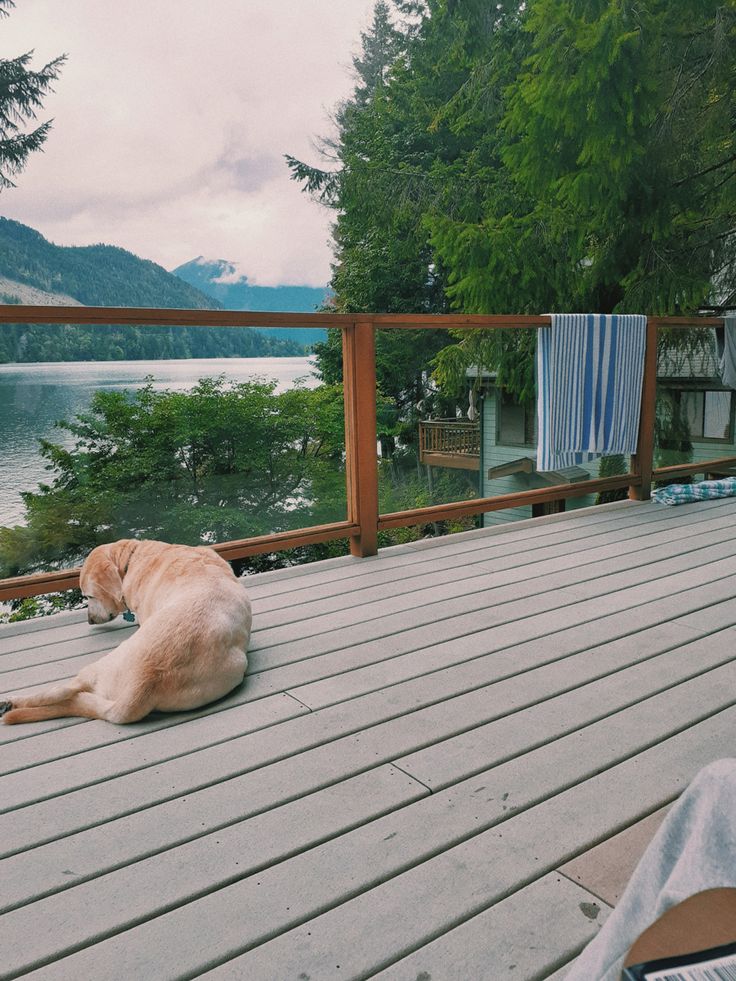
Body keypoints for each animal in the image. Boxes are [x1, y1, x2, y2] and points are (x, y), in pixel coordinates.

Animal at [0, 540, 252, 724]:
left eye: (89, 596)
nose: (89, 620)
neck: (132, 557)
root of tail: (145, 681)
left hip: (97, 667)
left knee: (62, 690)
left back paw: (10, 703)